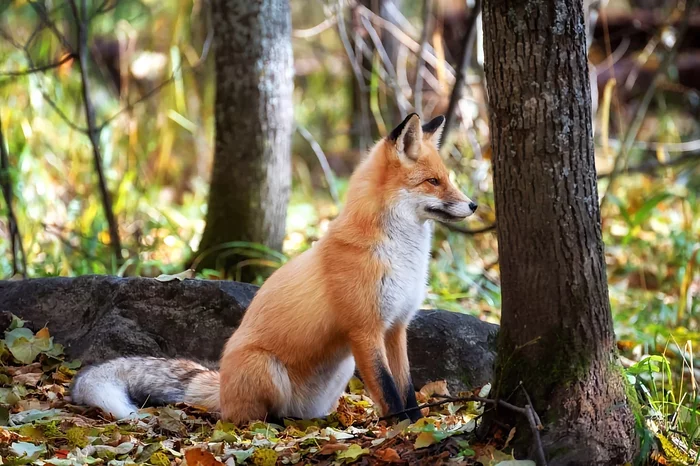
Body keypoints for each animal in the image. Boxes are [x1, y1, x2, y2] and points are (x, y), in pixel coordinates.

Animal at [70, 113, 477, 424]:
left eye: (448, 179)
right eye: (433, 182)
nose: (474, 205)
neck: (400, 256)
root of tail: (221, 386)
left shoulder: (395, 328)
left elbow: (407, 390)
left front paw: (419, 426)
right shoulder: (365, 330)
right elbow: (389, 393)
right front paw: (401, 431)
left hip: (340, 371)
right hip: (266, 368)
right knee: (246, 418)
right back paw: (272, 425)